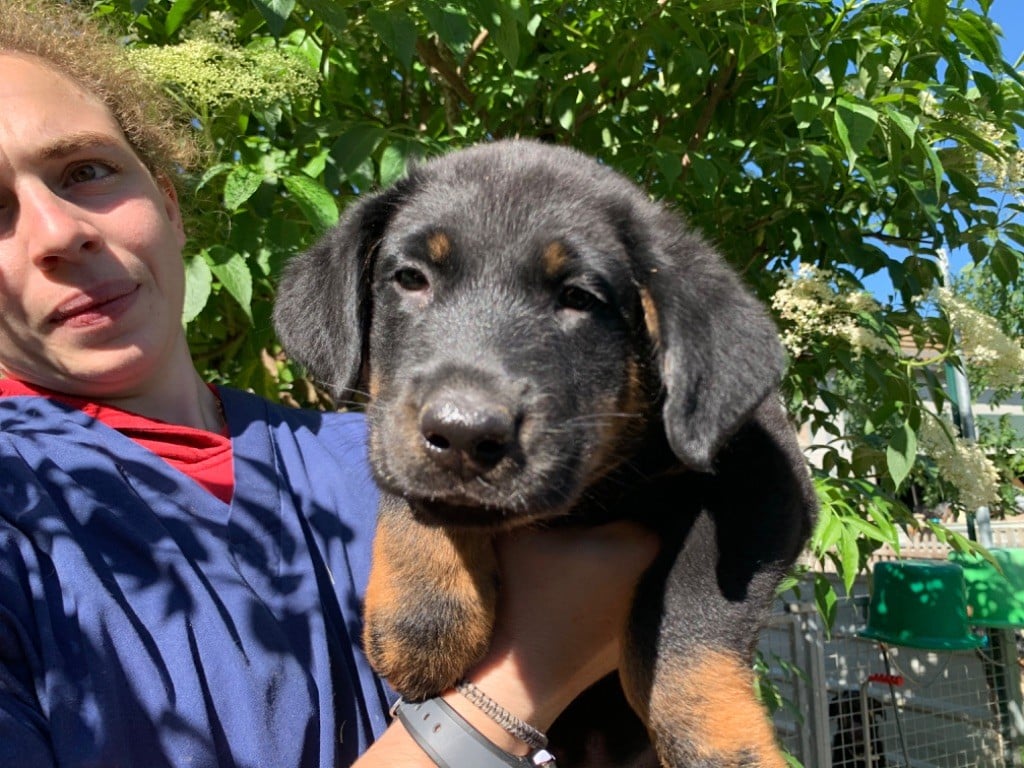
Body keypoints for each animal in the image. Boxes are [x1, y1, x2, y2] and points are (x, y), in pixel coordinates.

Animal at [273, 139, 817, 767]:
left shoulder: (766, 477)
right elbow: (413, 492)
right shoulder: (392, 430)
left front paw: (721, 745)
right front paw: (424, 618)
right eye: (410, 278)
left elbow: (687, 615)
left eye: (578, 297)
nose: (463, 433)